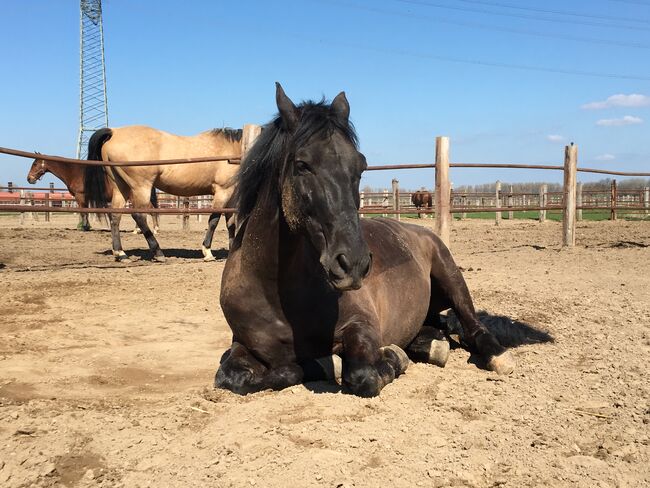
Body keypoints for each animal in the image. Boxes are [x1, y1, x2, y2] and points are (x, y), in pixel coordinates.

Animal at [26, 153, 158, 232]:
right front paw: (86, 226)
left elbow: (83, 212)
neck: (74, 172)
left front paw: (83, 227)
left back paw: (151, 229)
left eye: (35, 163)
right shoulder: (87, 198)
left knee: (150, 211)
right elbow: (86, 212)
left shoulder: (80, 196)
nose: (29, 179)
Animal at [82, 127, 242, 264]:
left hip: (120, 186)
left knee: (115, 216)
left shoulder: (232, 195)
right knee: (139, 216)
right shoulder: (223, 191)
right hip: (141, 187)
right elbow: (214, 221)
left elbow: (231, 223)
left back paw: (120, 254)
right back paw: (158, 253)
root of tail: (114, 131)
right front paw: (207, 251)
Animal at [214, 83, 512, 396]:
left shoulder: (363, 326)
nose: (353, 264)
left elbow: (362, 375)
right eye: (302, 164)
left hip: (451, 276)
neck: (278, 297)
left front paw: (392, 358)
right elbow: (234, 376)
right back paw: (431, 345)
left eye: (361, 166)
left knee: (473, 326)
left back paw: (497, 358)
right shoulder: (242, 344)